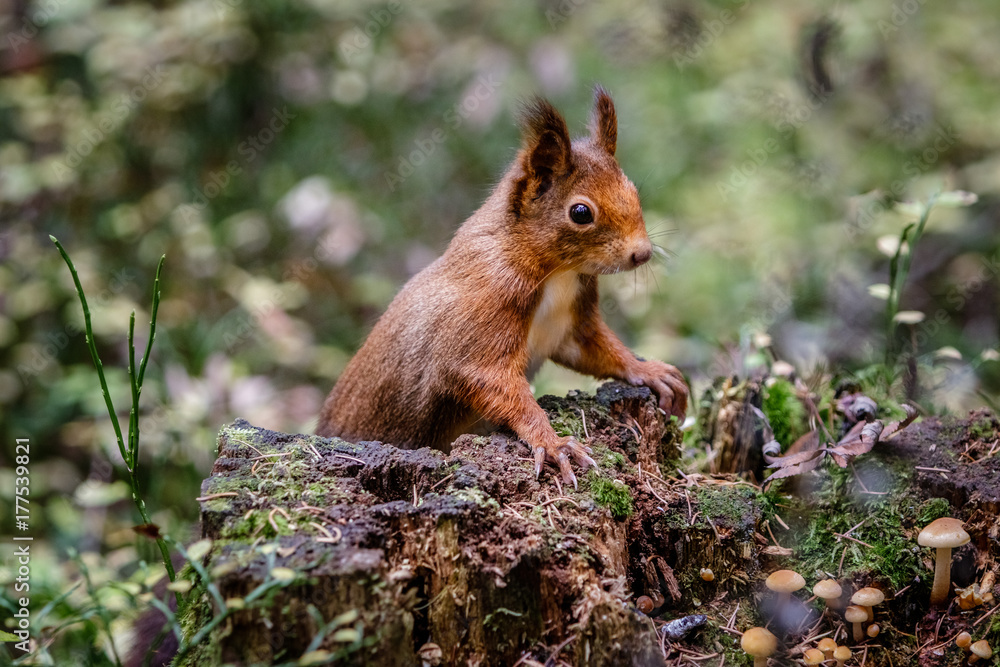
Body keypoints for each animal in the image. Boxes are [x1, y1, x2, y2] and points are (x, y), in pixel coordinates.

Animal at [317, 86, 688, 486]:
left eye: (633, 190)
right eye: (581, 213)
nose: (643, 253)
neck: (558, 273)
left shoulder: (570, 324)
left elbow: (597, 348)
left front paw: (650, 371)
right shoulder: (487, 306)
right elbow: (491, 381)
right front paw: (553, 443)